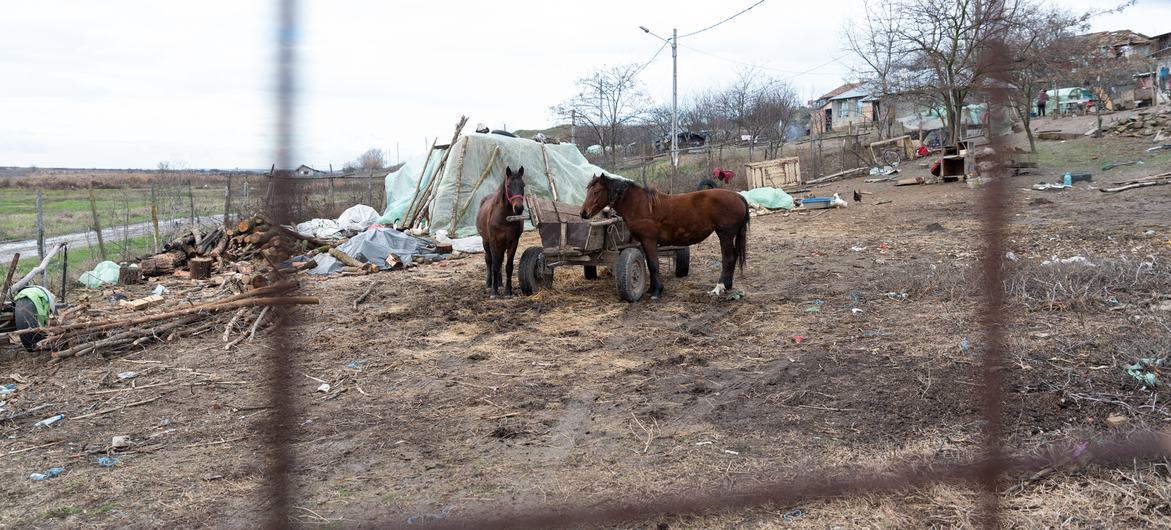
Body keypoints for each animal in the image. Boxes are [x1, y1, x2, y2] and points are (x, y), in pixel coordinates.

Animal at [477, 164, 529, 297]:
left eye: (523, 185)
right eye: (509, 185)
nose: (519, 208)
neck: (504, 218)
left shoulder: (513, 242)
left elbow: (508, 266)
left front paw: (508, 291)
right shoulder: (494, 241)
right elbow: (494, 265)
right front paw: (494, 292)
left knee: (500, 261)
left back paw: (499, 283)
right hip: (486, 242)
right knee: (489, 260)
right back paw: (489, 284)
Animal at [578, 171, 749, 297]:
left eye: (597, 191)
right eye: (587, 190)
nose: (583, 213)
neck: (640, 205)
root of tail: (738, 196)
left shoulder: (649, 240)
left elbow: (654, 264)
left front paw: (657, 292)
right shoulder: (644, 242)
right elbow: (650, 264)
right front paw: (651, 290)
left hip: (725, 234)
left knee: (728, 258)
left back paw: (719, 288)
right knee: (733, 257)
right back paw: (727, 286)